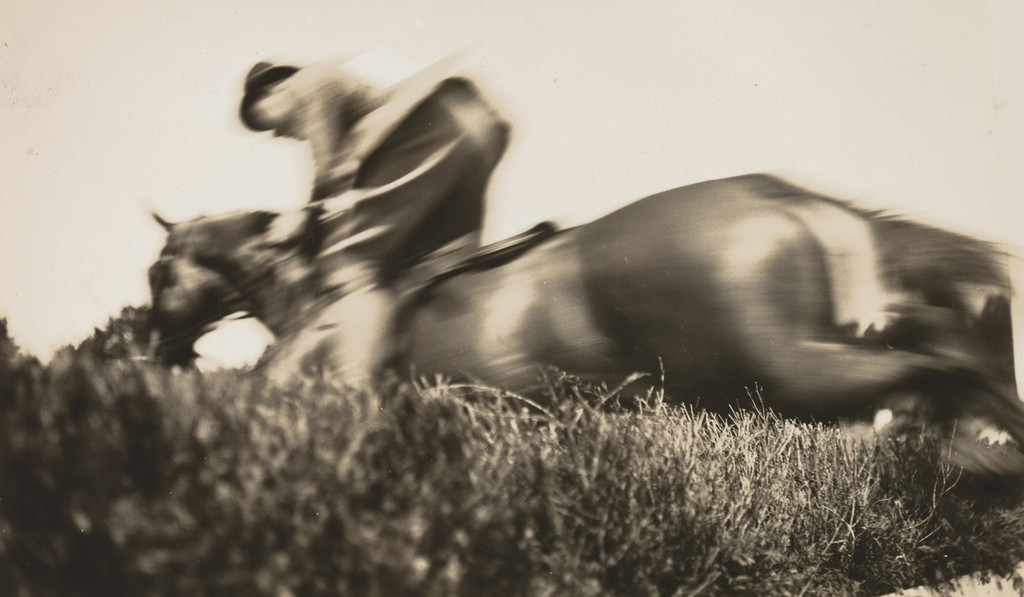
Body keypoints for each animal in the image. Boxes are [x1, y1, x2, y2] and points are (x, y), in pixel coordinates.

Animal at [148, 174, 1024, 477]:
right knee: (957, 341)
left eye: (160, 272)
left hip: (794, 369)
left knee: (949, 358)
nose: (162, 349)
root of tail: (780, 196)